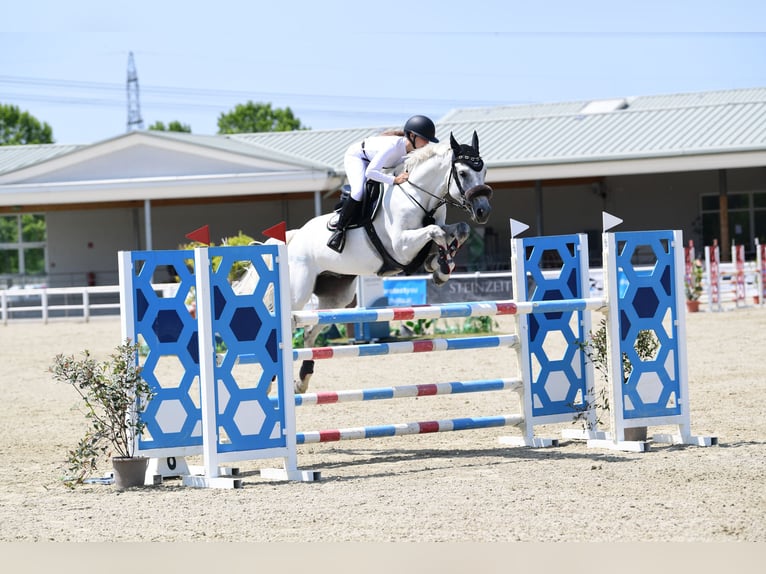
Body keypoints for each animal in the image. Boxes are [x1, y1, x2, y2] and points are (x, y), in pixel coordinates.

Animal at [236, 131, 493, 393]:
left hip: (336, 297)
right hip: (297, 292)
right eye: (463, 173)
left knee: (309, 331)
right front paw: (440, 265)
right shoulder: (401, 247)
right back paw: (272, 384)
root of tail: (293, 238)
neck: (418, 197)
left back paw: (302, 380)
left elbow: (458, 230)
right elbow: (436, 233)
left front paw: (440, 266)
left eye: (483, 171)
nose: (483, 211)